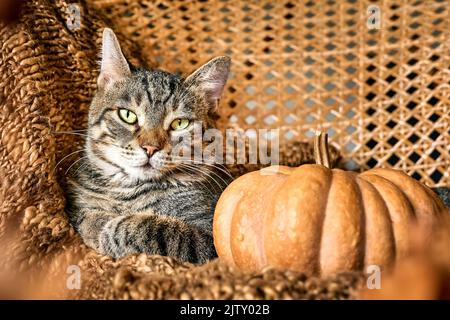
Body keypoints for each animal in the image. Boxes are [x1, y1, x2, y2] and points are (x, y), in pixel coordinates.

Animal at [65, 28, 234, 262]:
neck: (128, 191)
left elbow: (150, 228)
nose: (150, 148)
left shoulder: (210, 240)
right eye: (127, 115)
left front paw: (103, 227)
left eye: (179, 123)